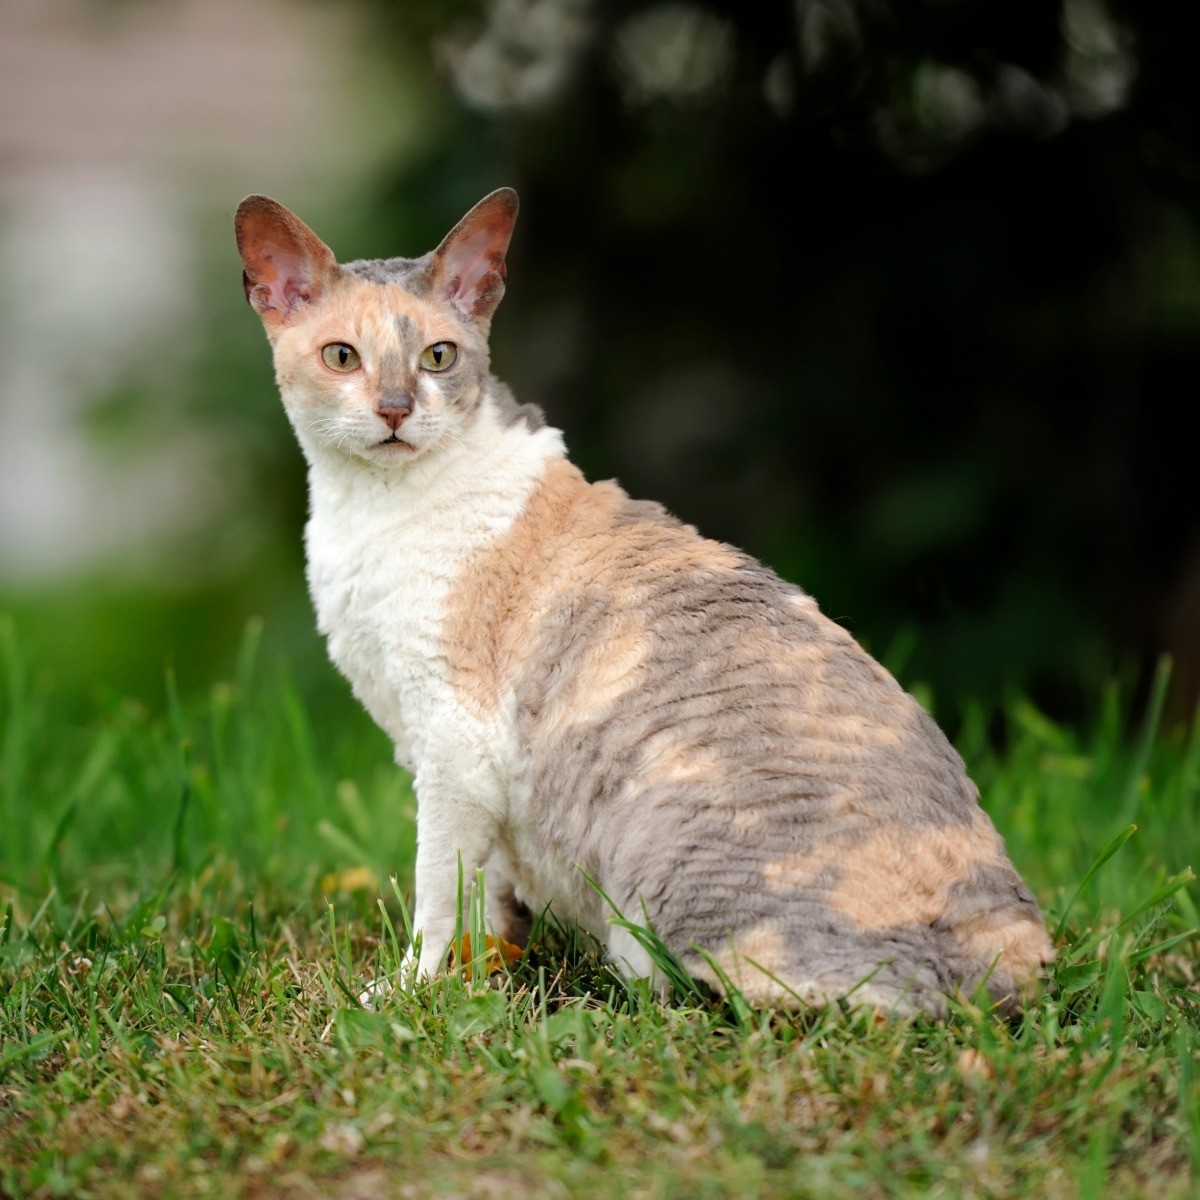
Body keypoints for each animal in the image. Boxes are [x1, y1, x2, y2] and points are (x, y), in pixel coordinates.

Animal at [231, 187, 1051, 1012]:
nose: (396, 408)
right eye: (343, 356)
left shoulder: (452, 745)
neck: (362, 511)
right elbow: (484, 896)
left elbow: (438, 890)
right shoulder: (443, 756)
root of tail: (1006, 959)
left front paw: (410, 994)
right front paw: (481, 971)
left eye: (439, 357)